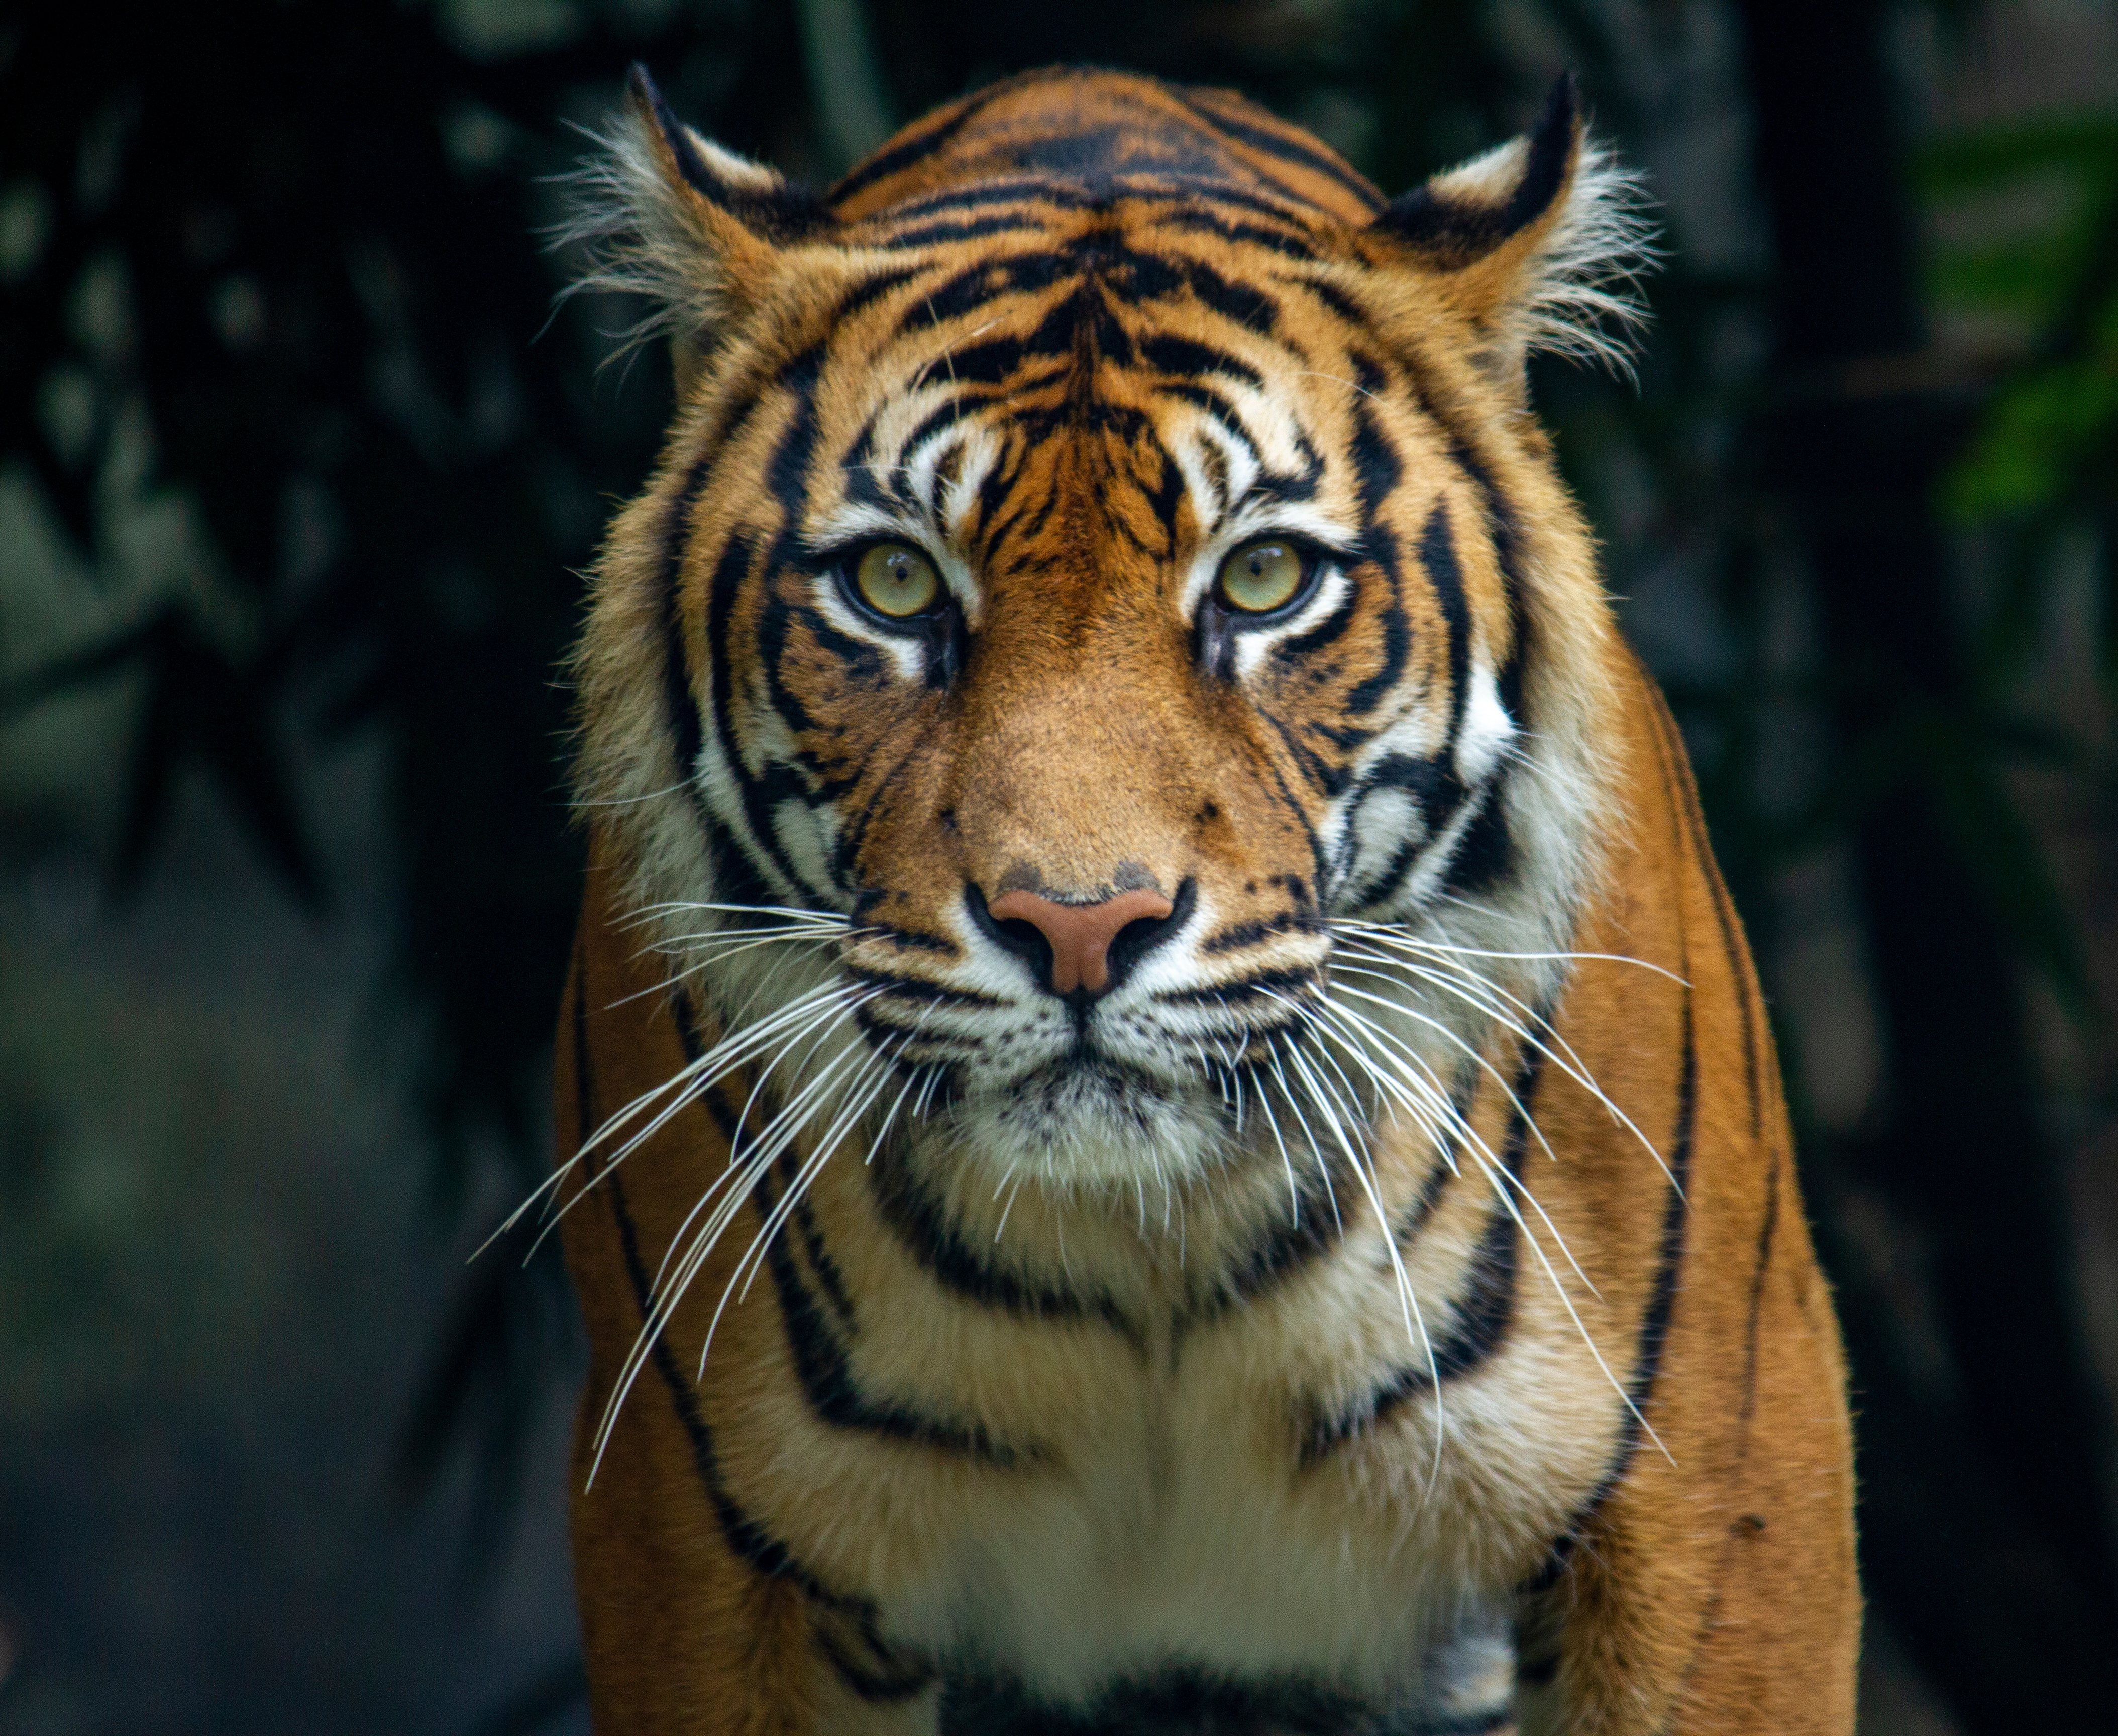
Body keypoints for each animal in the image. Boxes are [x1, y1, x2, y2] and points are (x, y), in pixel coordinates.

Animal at [541, 61, 1860, 1735]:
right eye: (894, 587)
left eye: (1264, 581)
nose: (1077, 927)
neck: (1144, 1264)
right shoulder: (693, 1533)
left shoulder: (1714, 1483)